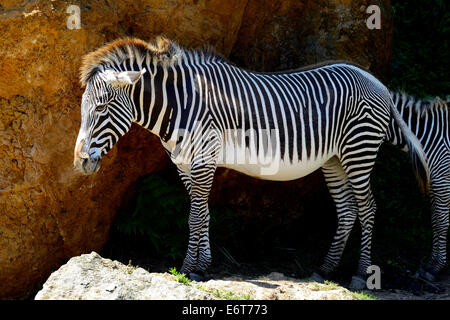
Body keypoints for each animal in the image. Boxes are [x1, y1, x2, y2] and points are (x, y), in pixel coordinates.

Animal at [72, 36, 428, 288]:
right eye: (83, 108)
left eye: (101, 108)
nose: (79, 162)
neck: (180, 105)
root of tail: (377, 81)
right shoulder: (185, 164)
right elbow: (204, 214)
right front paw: (202, 266)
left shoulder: (202, 159)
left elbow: (195, 217)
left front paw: (188, 269)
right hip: (335, 160)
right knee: (348, 210)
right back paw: (324, 270)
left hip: (359, 150)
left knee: (367, 208)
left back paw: (360, 276)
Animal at [384, 91, 450, 282]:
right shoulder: (435, 182)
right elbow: (435, 221)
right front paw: (430, 263)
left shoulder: (442, 180)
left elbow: (441, 223)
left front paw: (436, 268)